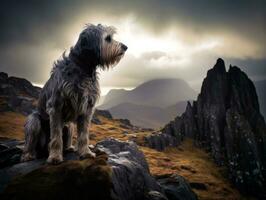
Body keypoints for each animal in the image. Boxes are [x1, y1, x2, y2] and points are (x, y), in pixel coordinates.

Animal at [21, 23, 127, 164]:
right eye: (108, 38)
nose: (125, 47)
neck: (83, 68)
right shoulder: (56, 106)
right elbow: (56, 136)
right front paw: (55, 156)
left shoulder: (87, 107)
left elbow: (83, 134)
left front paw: (85, 152)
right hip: (34, 121)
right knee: (31, 141)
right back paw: (28, 155)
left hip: (69, 126)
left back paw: (69, 147)